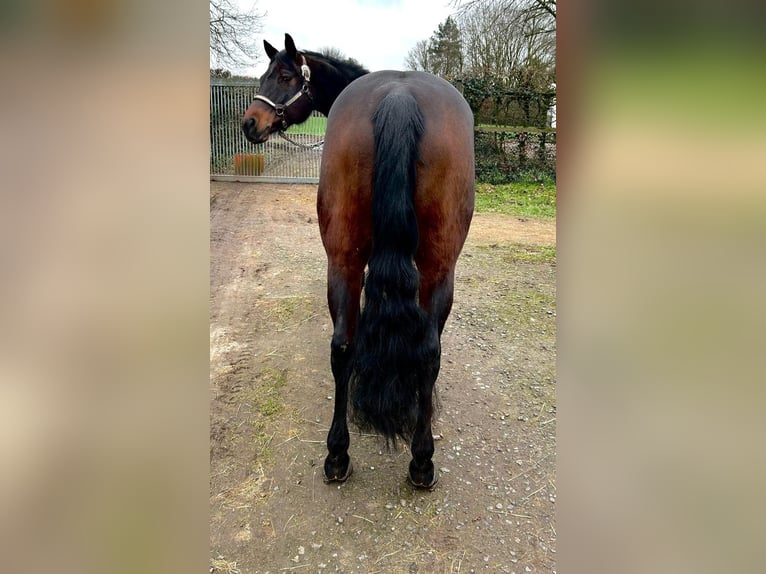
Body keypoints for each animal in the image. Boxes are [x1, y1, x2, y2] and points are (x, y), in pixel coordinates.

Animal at [242, 34, 475, 489]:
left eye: (285, 76)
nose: (250, 123)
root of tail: (400, 97)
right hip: (429, 269)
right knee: (416, 350)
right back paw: (410, 459)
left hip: (352, 264)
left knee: (352, 347)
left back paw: (346, 454)